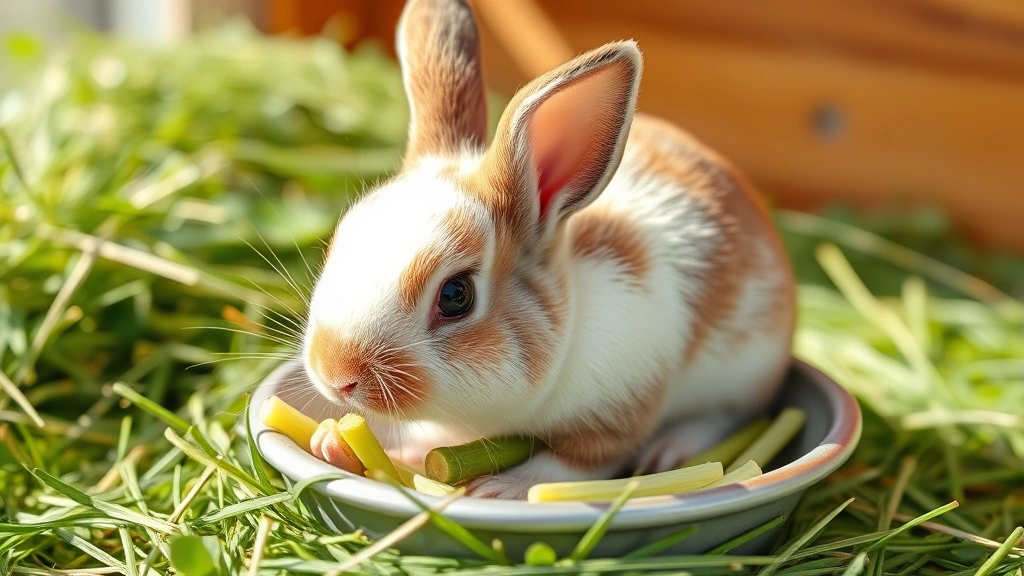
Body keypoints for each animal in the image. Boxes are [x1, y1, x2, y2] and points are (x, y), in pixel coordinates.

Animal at [302, 0, 796, 499]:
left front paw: (500, 489)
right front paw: (333, 443)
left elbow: (568, 465)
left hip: (746, 373)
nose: (335, 375)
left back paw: (673, 449)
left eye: (456, 295)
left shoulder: (617, 413)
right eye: (342, 237)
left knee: (728, 415)